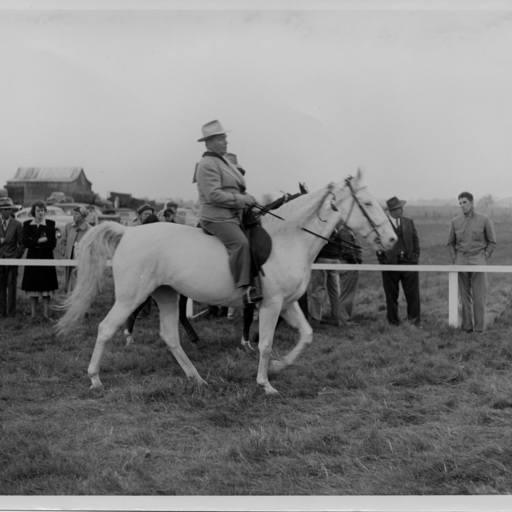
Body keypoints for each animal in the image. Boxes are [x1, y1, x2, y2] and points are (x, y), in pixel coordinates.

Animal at [56, 170, 396, 395]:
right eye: (367, 203)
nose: (391, 239)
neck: (289, 239)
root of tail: (128, 231)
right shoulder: (271, 304)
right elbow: (265, 343)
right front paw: (265, 383)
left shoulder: (286, 304)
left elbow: (307, 335)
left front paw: (279, 366)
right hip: (132, 296)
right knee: (106, 328)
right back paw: (95, 378)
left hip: (166, 295)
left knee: (170, 335)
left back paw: (196, 378)